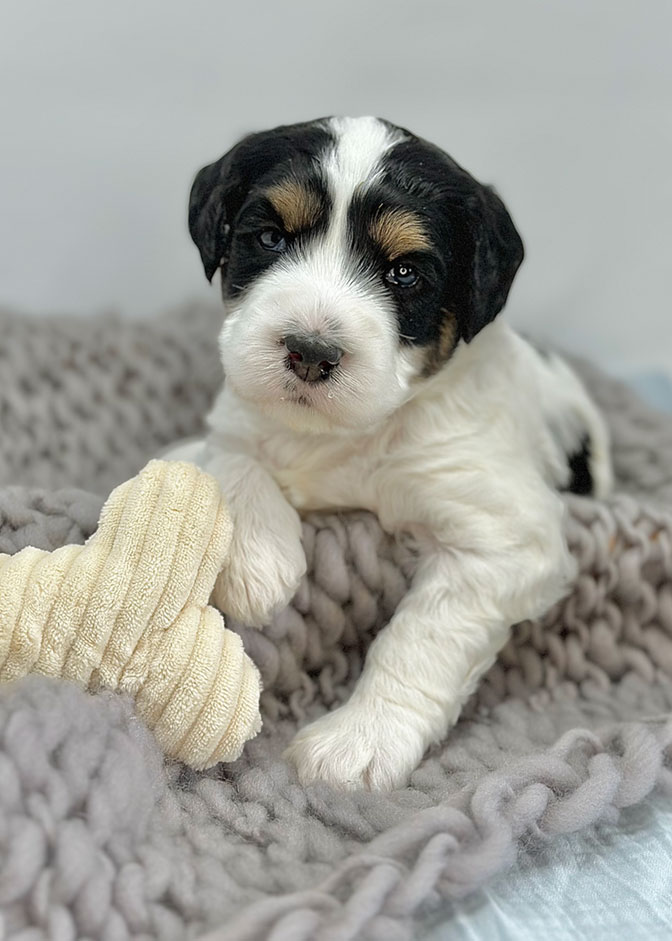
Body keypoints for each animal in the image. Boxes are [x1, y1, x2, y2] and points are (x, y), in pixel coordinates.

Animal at [171, 119, 612, 792]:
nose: (309, 352)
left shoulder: (502, 540)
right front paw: (260, 562)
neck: (346, 434)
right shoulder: (237, 413)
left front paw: (359, 742)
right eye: (270, 238)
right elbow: (228, 454)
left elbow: (421, 637)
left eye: (404, 273)